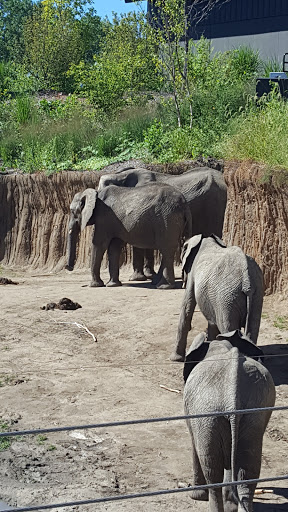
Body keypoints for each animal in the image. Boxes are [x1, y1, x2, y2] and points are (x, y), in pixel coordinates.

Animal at [171, 234, 264, 362]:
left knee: (228, 329)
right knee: (253, 327)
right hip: (256, 293)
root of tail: (247, 278)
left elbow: (187, 306)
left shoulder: (193, 273)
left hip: (226, 298)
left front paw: (175, 359)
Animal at [183, 330, 276, 510]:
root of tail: (231, 395)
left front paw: (196, 496)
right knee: (248, 470)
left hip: (208, 414)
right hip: (253, 415)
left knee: (212, 469)